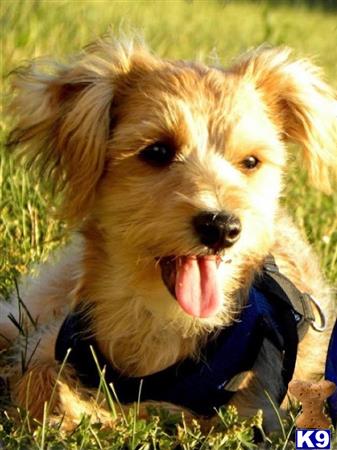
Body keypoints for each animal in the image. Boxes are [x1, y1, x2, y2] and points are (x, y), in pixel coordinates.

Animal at [0, 34, 336, 428]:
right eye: (158, 151)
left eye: (251, 162)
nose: (222, 226)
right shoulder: (53, 340)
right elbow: (38, 377)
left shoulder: (259, 406)